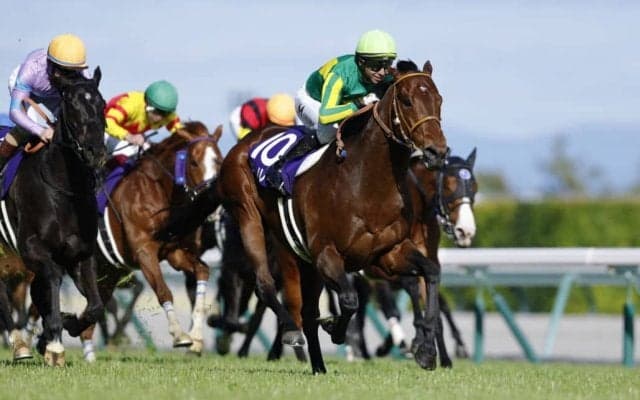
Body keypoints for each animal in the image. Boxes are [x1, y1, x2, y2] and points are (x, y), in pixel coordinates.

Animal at [0, 68, 107, 366]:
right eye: (71, 105)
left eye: (102, 103)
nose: (96, 151)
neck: (64, 188)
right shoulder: (32, 249)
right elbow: (52, 278)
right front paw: (55, 343)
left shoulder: (81, 253)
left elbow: (95, 306)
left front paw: (61, 329)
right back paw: (19, 344)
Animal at [78, 121, 223, 358]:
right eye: (193, 162)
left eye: (219, 161)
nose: (213, 203)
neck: (156, 192)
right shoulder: (144, 252)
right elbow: (163, 290)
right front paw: (179, 335)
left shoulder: (174, 252)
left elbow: (202, 270)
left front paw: (196, 339)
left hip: (107, 273)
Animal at [215, 60, 448, 373]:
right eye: (407, 100)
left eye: (438, 100)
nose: (437, 151)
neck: (368, 183)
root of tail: (246, 141)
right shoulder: (327, 254)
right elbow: (348, 300)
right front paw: (336, 330)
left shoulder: (387, 254)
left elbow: (431, 272)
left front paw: (425, 351)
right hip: (249, 216)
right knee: (267, 286)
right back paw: (291, 332)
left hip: (304, 258)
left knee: (306, 308)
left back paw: (318, 366)